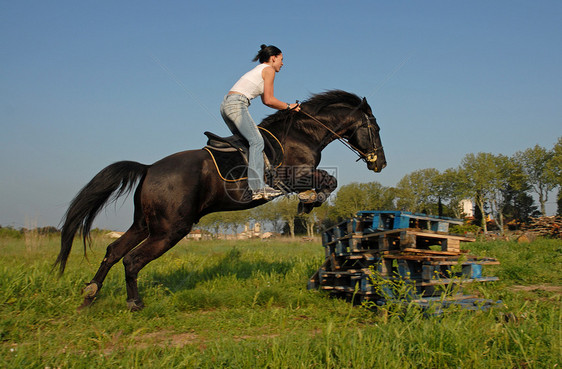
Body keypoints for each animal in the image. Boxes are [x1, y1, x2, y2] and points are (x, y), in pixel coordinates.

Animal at [54, 90, 382, 310]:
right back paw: (134, 304)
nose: (381, 164)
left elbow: (330, 180)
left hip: (145, 224)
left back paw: (90, 294)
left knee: (113, 251)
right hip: (171, 229)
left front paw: (309, 201)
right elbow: (329, 180)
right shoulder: (294, 175)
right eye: (375, 129)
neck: (302, 134)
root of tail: (148, 169)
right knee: (132, 260)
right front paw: (310, 200)